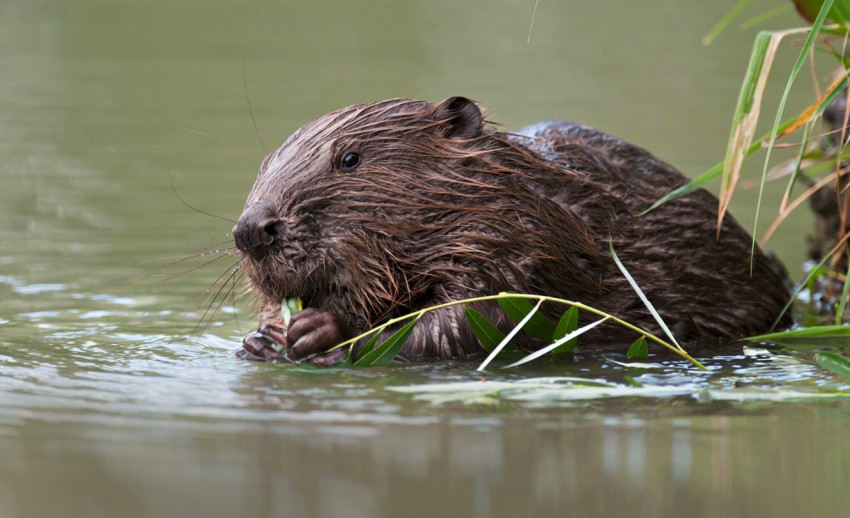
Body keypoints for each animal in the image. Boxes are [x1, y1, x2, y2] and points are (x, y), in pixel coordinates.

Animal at [230, 97, 788, 366]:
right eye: (264, 165)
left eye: (350, 158)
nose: (252, 230)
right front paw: (262, 338)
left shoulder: (524, 246)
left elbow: (469, 323)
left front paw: (324, 332)